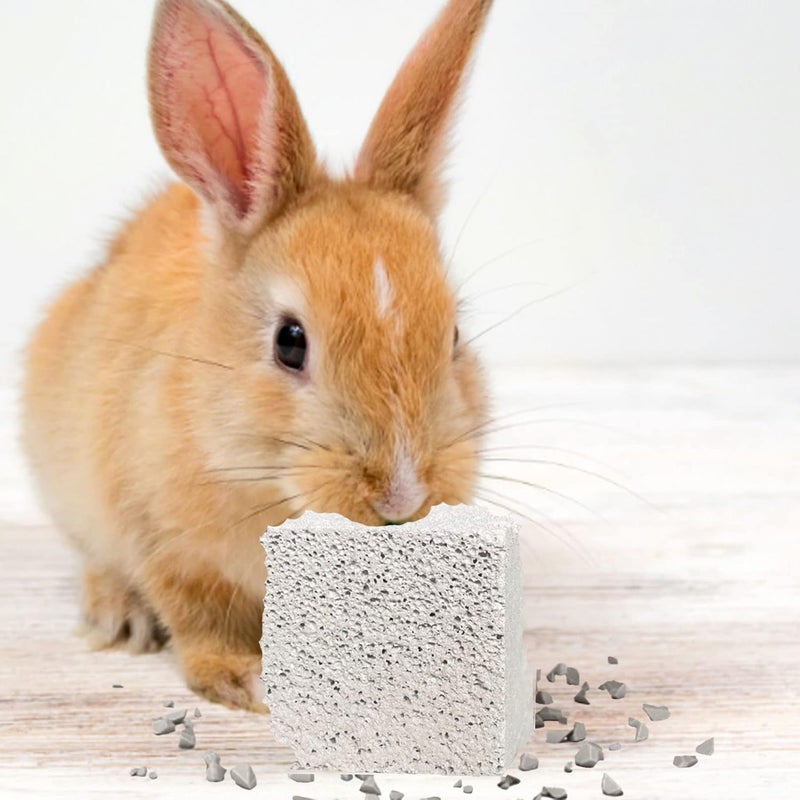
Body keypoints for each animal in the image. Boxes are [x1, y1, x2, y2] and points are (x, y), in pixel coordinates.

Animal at [22, 0, 493, 712]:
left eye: (455, 335)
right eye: (289, 342)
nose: (403, 494)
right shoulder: (167, 545)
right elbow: (199, 619)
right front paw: (242, 680)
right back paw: (119, 618)